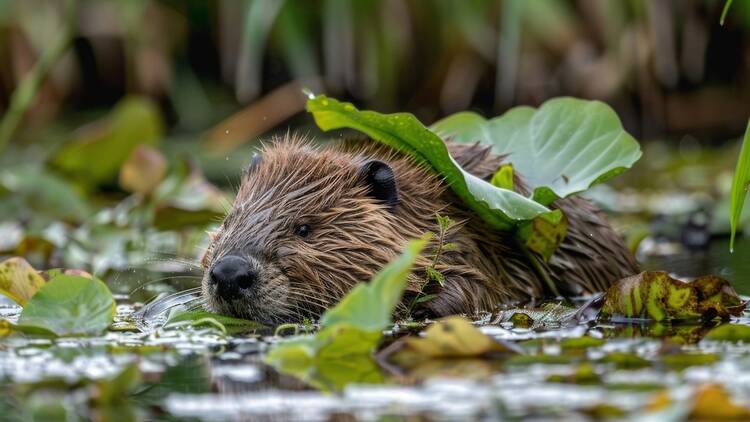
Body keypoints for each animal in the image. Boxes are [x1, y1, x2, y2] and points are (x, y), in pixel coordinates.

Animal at [201, 135, 640, 324]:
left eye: (304, 228)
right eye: (230, 220)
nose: (230, 273)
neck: (425, 213)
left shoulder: (475, 249)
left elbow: (477, 292)